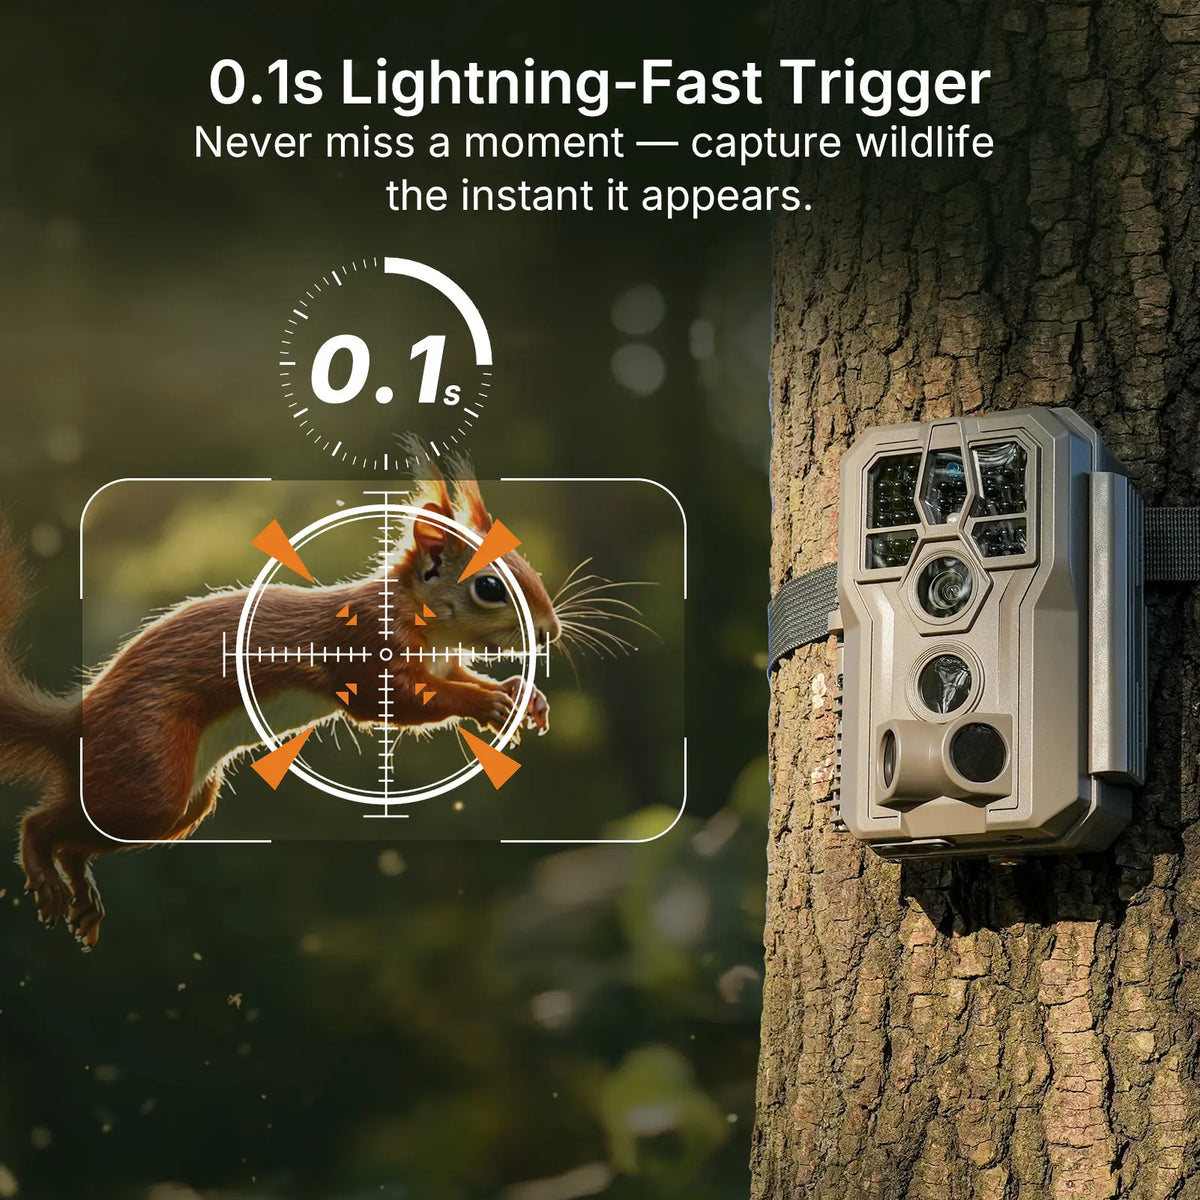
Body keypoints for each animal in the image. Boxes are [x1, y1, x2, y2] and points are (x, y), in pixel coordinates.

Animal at [0, 466, 562, 949]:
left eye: (527, 566)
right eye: (489, 586)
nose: (551, 631)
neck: (427, 626)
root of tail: (76, 720)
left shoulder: (441, 664)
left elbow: (454, 680)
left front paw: (522, 694)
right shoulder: (366, 650)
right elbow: (400, 701)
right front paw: (488, 701)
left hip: (181, 803)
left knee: (78, 839)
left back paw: (82, 896)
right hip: (146, 775)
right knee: (43, 825)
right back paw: (43, 870)